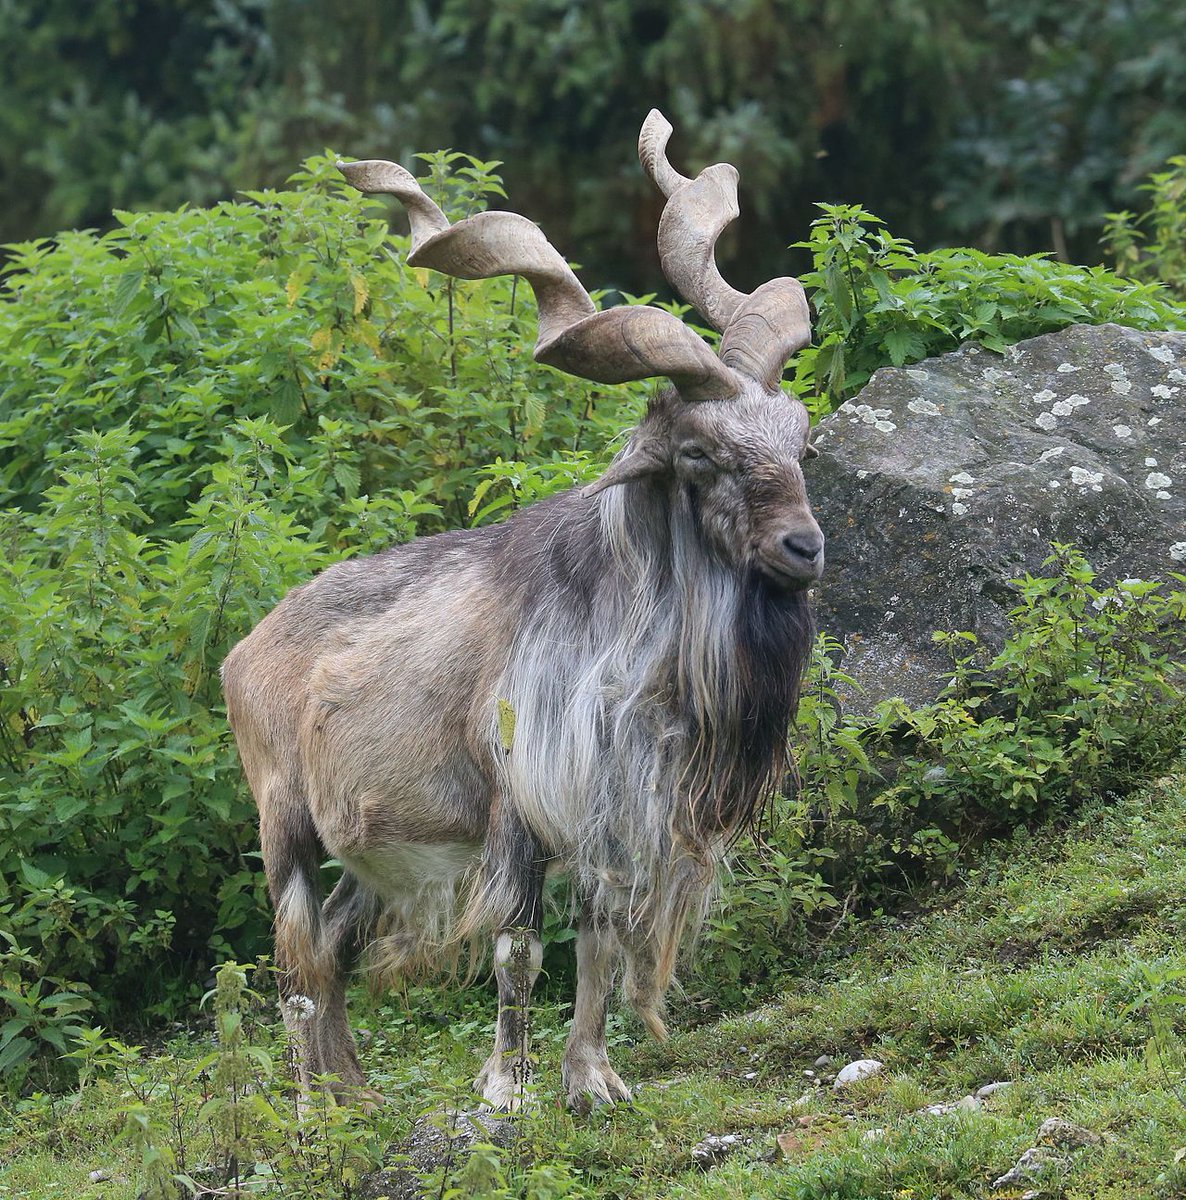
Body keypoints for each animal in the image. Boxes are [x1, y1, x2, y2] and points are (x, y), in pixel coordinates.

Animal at [221, 110, 824, 1112]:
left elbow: (600, 944)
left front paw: (593, 1081)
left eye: (798, 438)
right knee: (296, 960)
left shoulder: (609, 815)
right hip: (284, 822)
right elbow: (519, 950)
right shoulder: (517, 807)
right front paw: (505, 1092)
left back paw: (354, 1093)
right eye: (699, 454)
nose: (804, 547)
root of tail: (243, 652)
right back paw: (312, 1107)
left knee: (337, 943)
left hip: (380, 849)